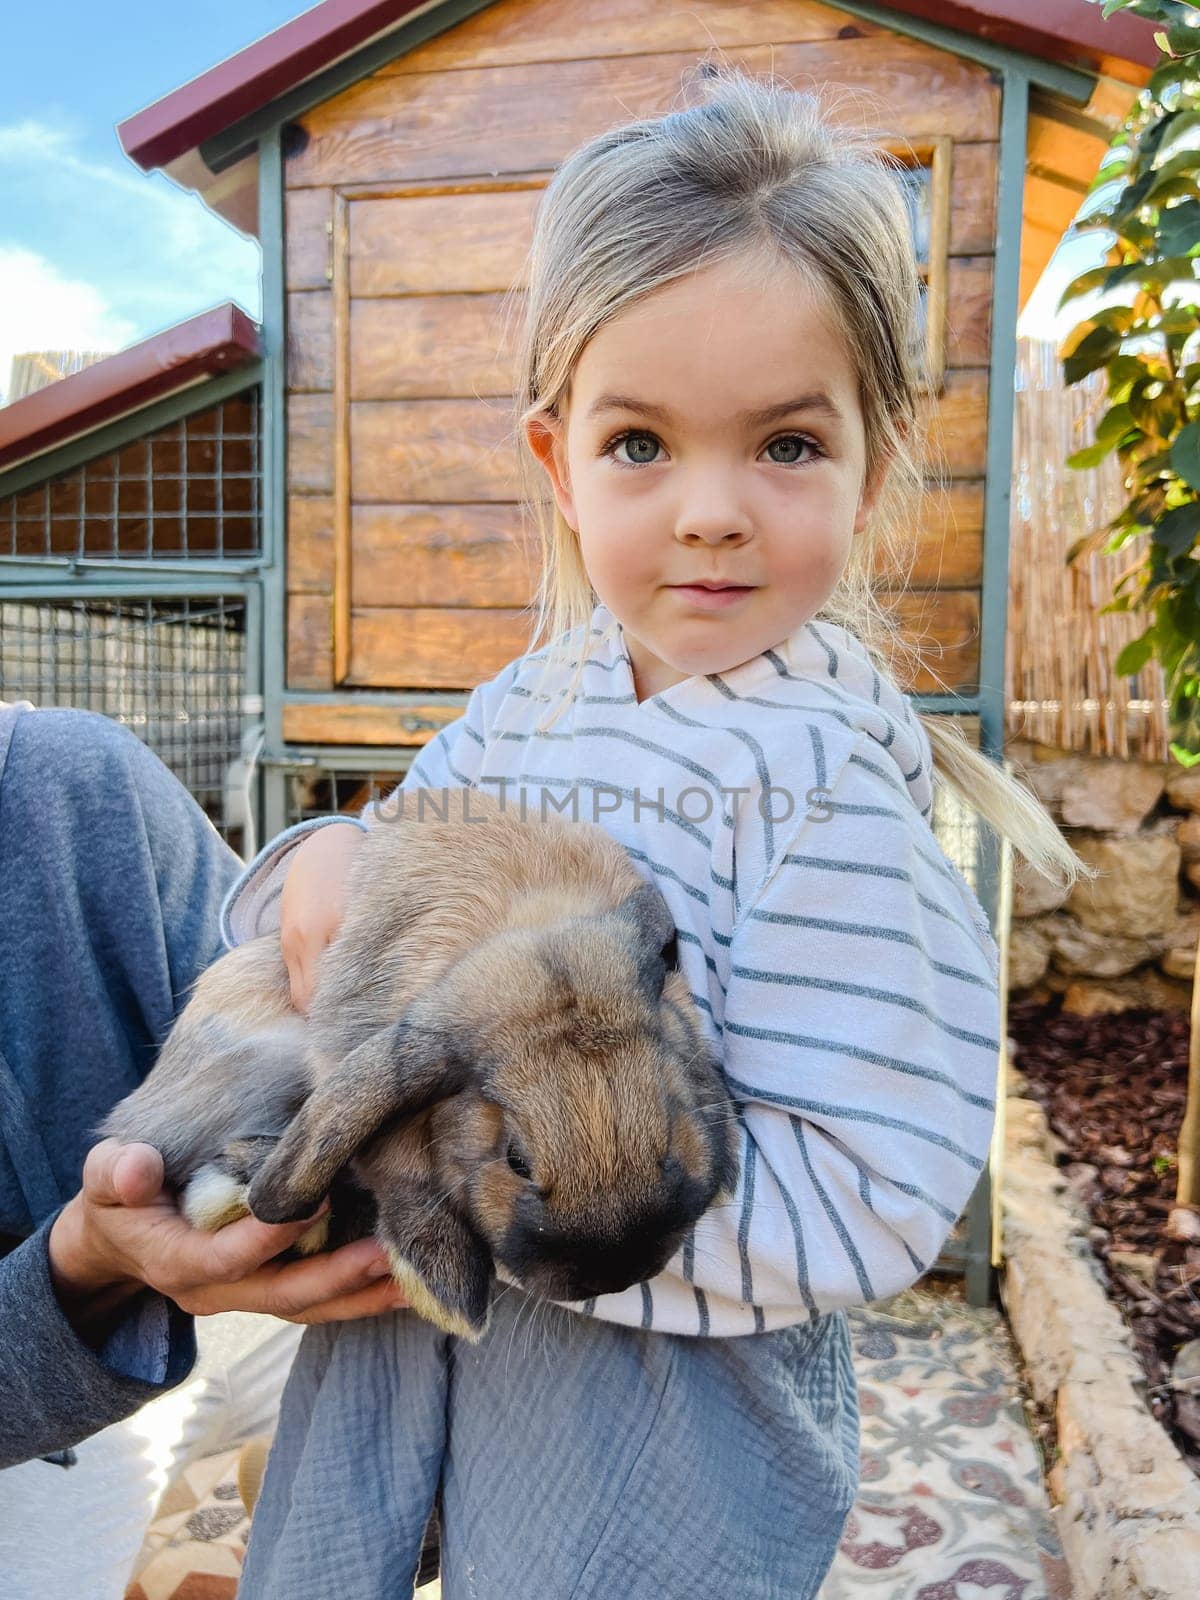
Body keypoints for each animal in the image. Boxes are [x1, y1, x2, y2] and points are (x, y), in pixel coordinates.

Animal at [101, 787, 742, 1337]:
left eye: (671, 1123)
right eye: (516, 1160)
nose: (615, 1274)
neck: (529, 930)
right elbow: (397, 1173)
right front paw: (446, 1291)